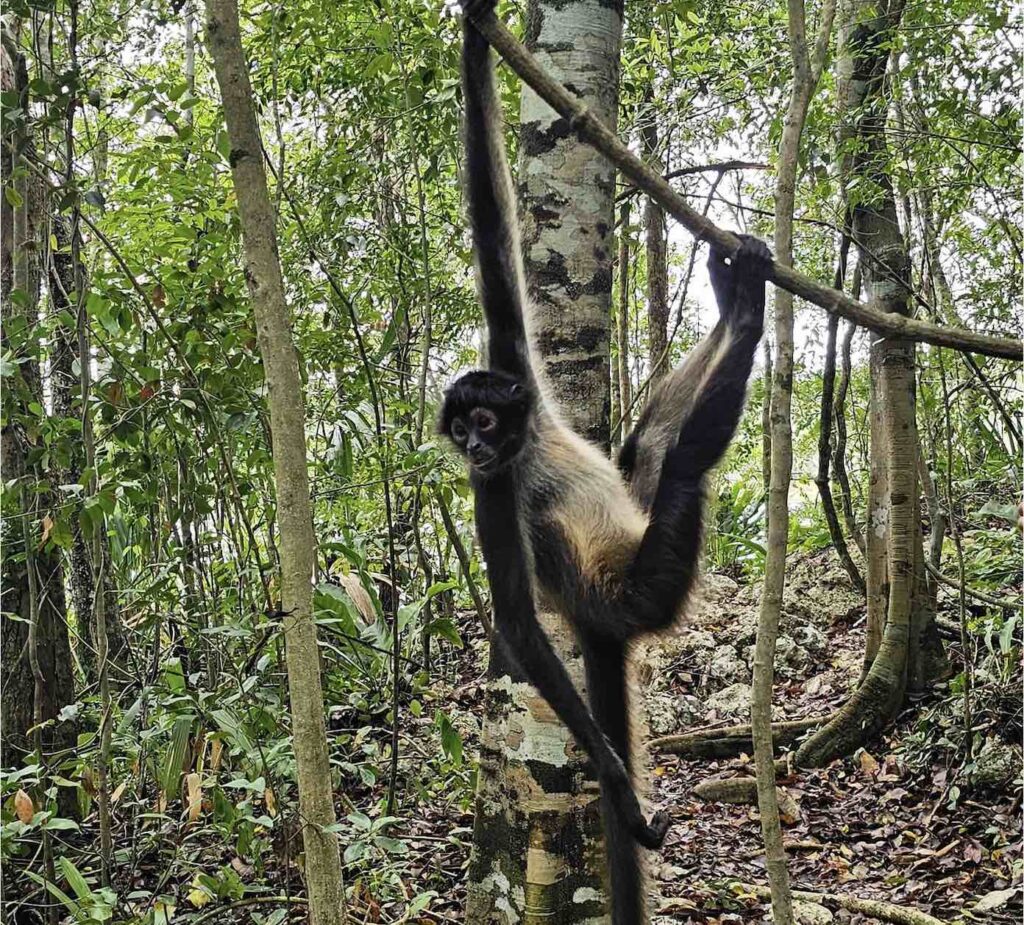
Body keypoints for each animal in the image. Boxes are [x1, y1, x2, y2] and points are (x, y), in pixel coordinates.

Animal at [444, 5, 770, 917]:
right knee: (687, 459)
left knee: (647, 445)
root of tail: (601, 618)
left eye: (483, 416)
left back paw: (732, 298)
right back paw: (752, 316)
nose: (474, 445)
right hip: (644, 583)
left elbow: (493, 230)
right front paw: (619, 785)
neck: (526, 444)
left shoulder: (512, 360)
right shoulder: (488, 492)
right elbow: (518, 623)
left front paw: (479, 33)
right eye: (464, 433)